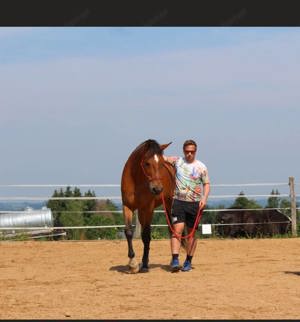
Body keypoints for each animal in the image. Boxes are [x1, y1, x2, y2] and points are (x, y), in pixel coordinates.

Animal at [120, 140, 175, 272]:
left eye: (161, 163)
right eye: (147, 163)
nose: (157, 189)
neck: (136, 180)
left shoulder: (148, 208)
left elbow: (145, 235)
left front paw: (143, 264)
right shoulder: (127, 206)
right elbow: (129, 232)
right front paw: (132, 263)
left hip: (168, 205)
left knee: (170, 229)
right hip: (141, 212)